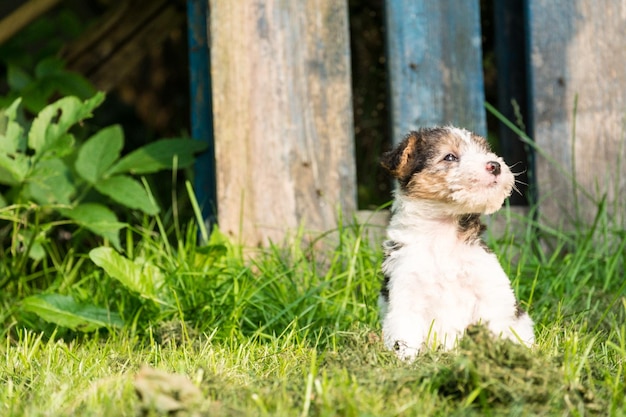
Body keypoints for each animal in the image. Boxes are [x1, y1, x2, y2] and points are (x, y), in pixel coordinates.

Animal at [378, 125, 532, 360]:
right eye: (449, 156)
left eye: (485, 150)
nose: (495, 165)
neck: (443, 237)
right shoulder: (406, 296)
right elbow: (404, 338)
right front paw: (405, 362)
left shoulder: (490, 292)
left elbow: (496, 328)